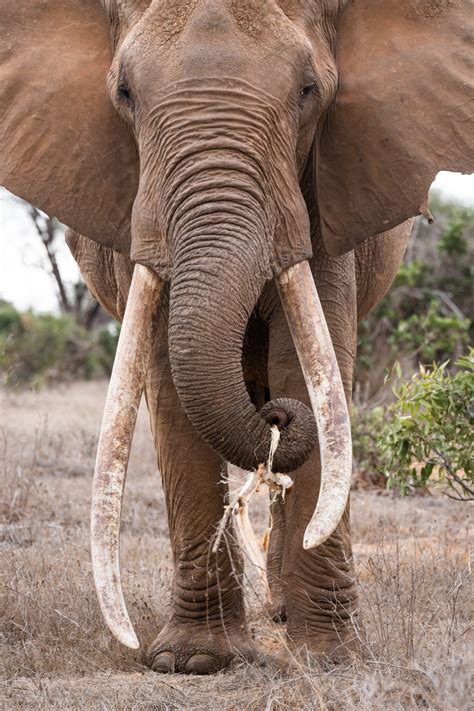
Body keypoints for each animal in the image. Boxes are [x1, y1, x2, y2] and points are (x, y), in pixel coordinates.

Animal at [1, 0, 473, 675]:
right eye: (124, 94)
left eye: (309, 91)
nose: (277, 419)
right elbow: (170, 385)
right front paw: (194, 662)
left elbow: (305, 364)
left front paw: (329, 661)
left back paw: (280, 611)